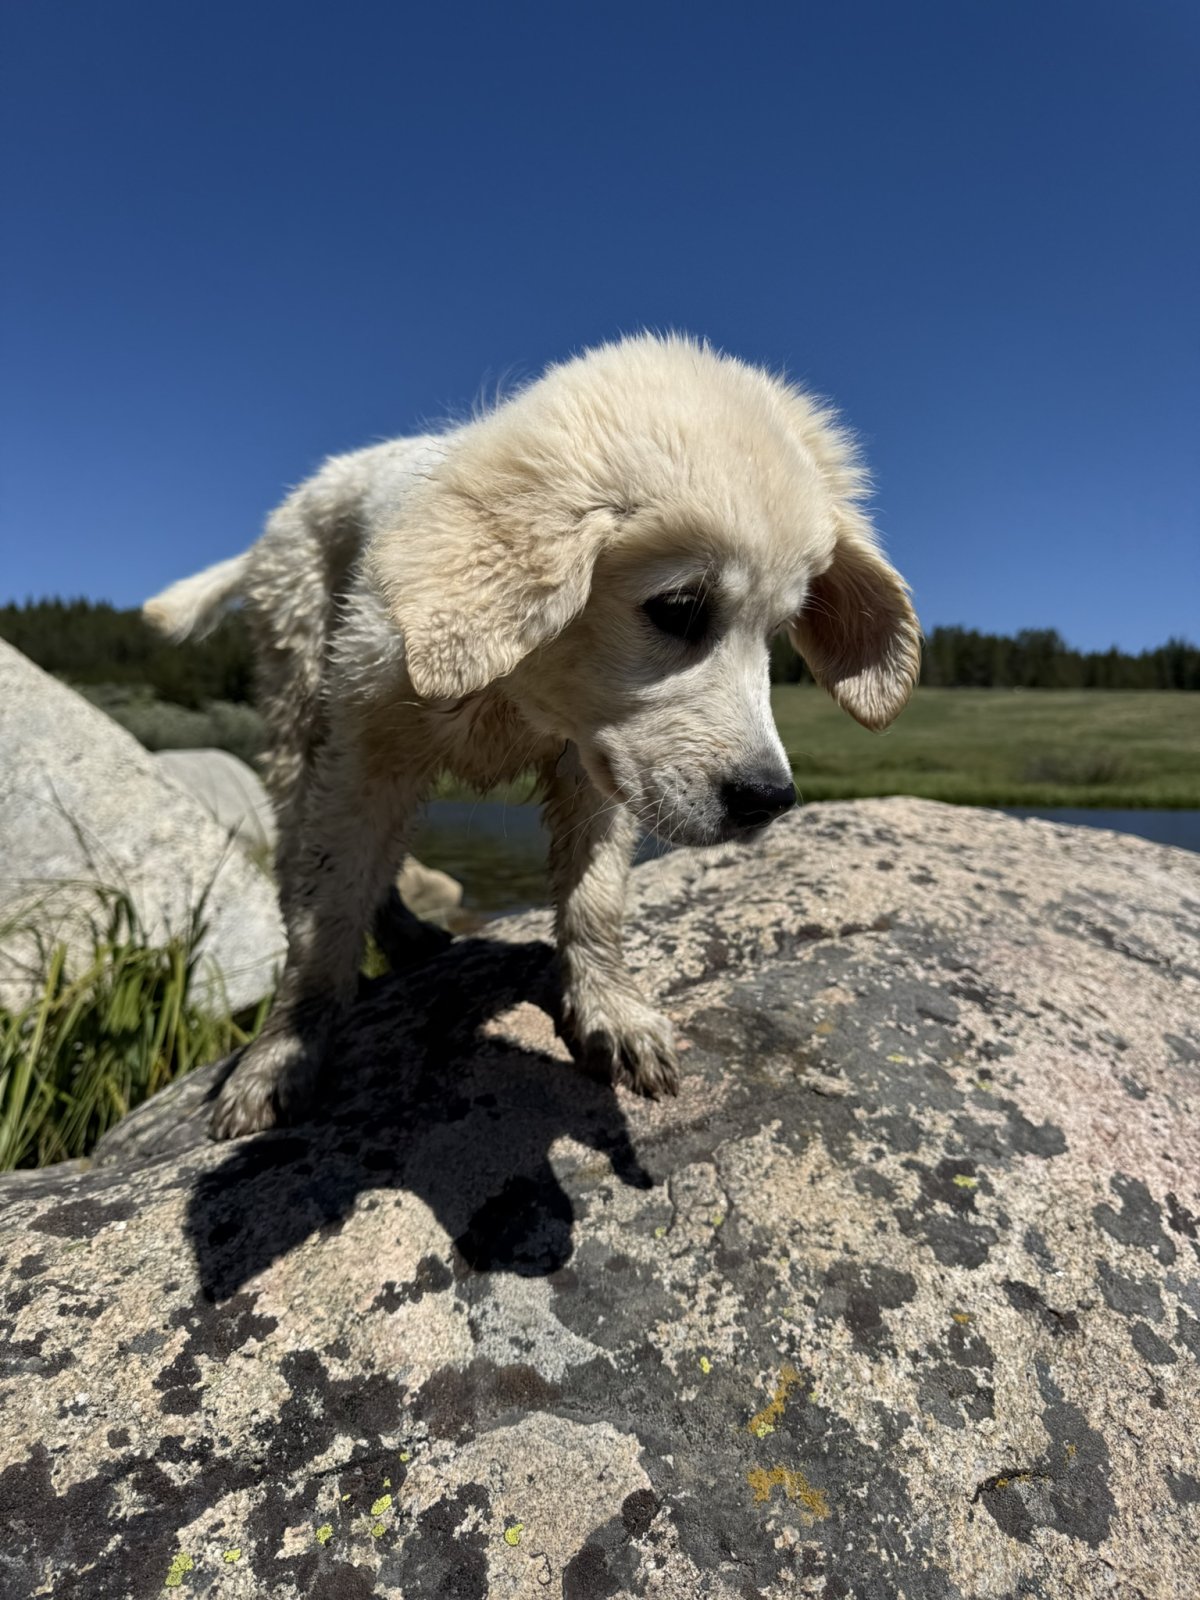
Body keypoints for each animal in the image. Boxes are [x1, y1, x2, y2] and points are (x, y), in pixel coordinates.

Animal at [145, 333, 920, 1138]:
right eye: (678, 607)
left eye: (779, 633)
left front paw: (612, 1012)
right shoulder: (367, 747)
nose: (769, 800)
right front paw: (283, 1052)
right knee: (299, 845)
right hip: (300, 692)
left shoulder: (600, 765)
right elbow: (326, 907)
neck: (516, 683)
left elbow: (596, 896)